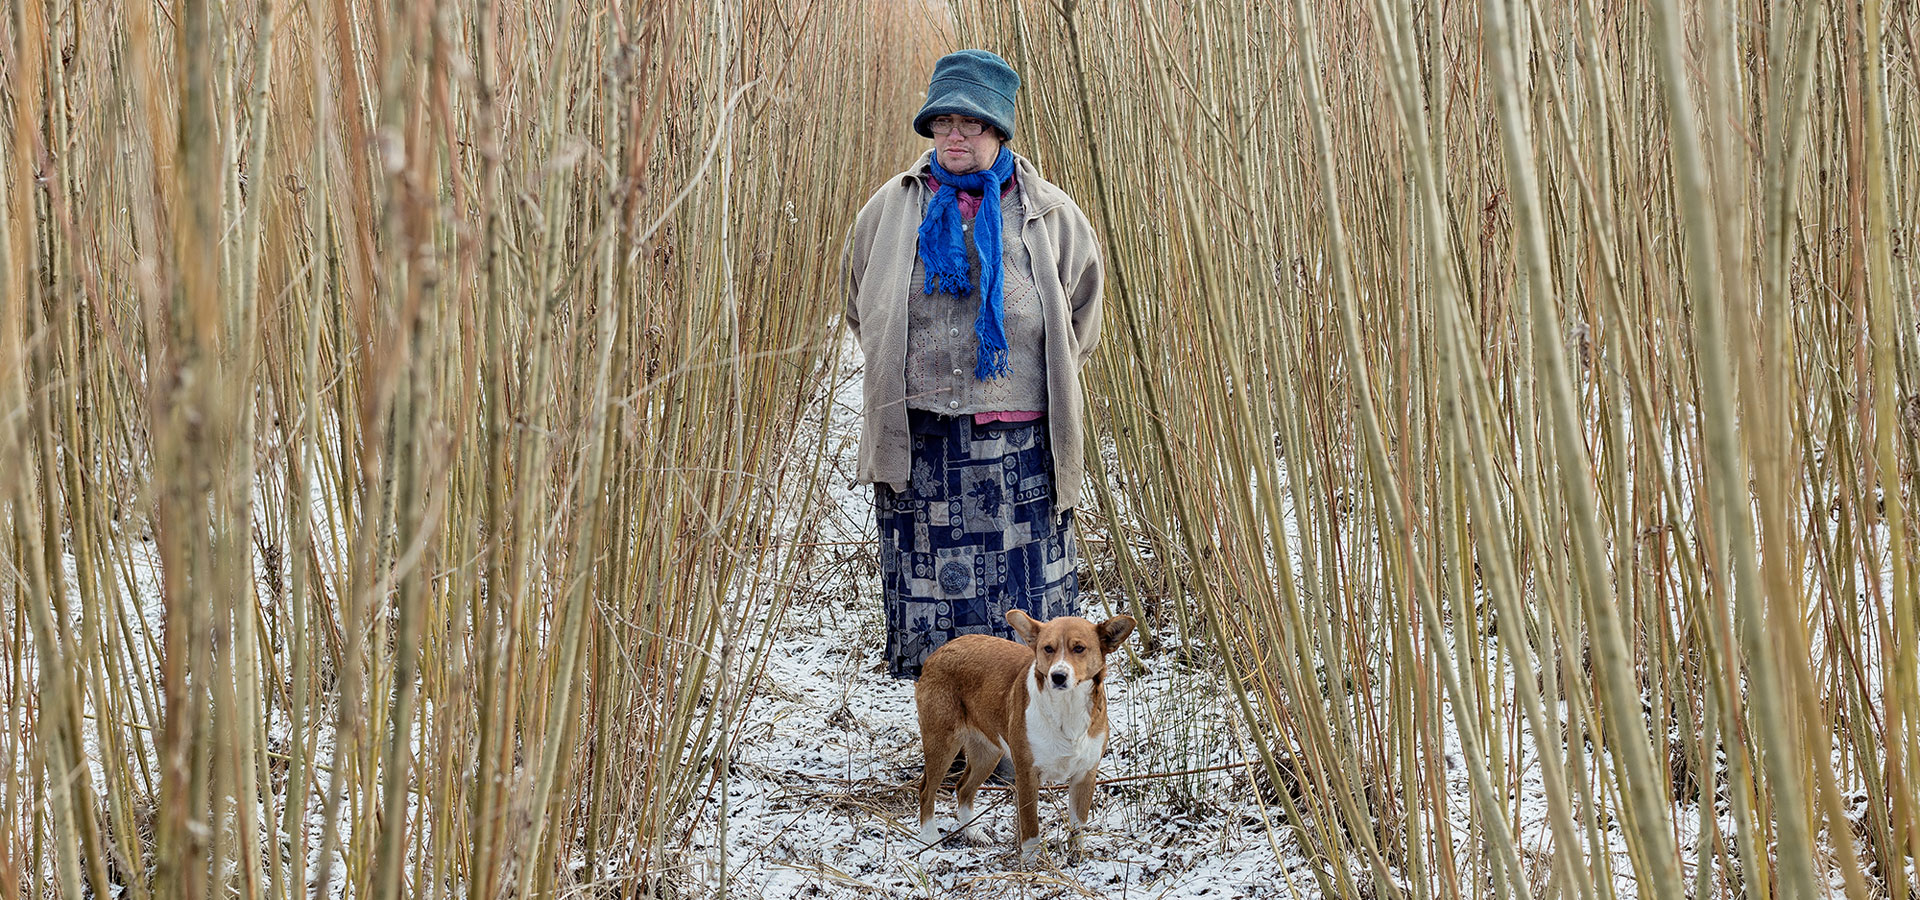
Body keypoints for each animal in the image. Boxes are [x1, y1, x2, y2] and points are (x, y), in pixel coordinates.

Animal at [910, 606, 1128, 852]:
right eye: (1048, 648)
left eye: (1079, 648)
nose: (1058, 676)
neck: (1066, 708)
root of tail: (939, 650)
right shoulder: (1027, 775)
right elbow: (1031, 833)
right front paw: (1033, 860)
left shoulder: (1085, 775)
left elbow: (1077, 830)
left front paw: (1077, 858)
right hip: (941, 742)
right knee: (926, 790)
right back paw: (929, 837)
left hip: (988, 751)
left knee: (963, 788)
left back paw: (973, 833)